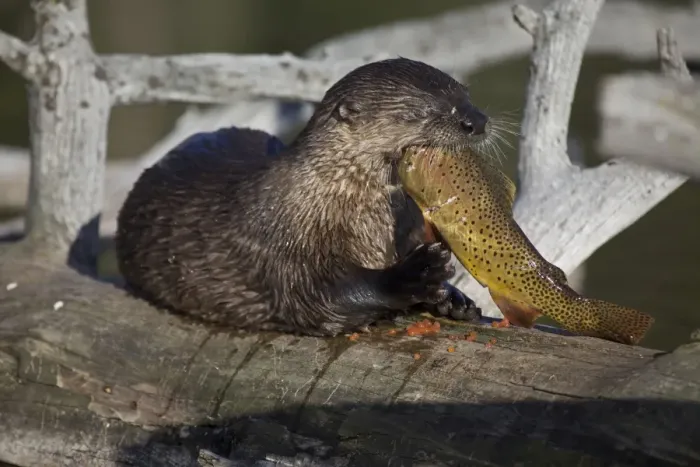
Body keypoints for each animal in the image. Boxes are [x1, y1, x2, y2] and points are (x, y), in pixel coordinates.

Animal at [115, 57, 491, 336]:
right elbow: (319, 297)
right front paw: (416, 273)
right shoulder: (283, 244)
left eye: (466, 95)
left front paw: (454, 299)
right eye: (423, 111)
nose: (478, 120)